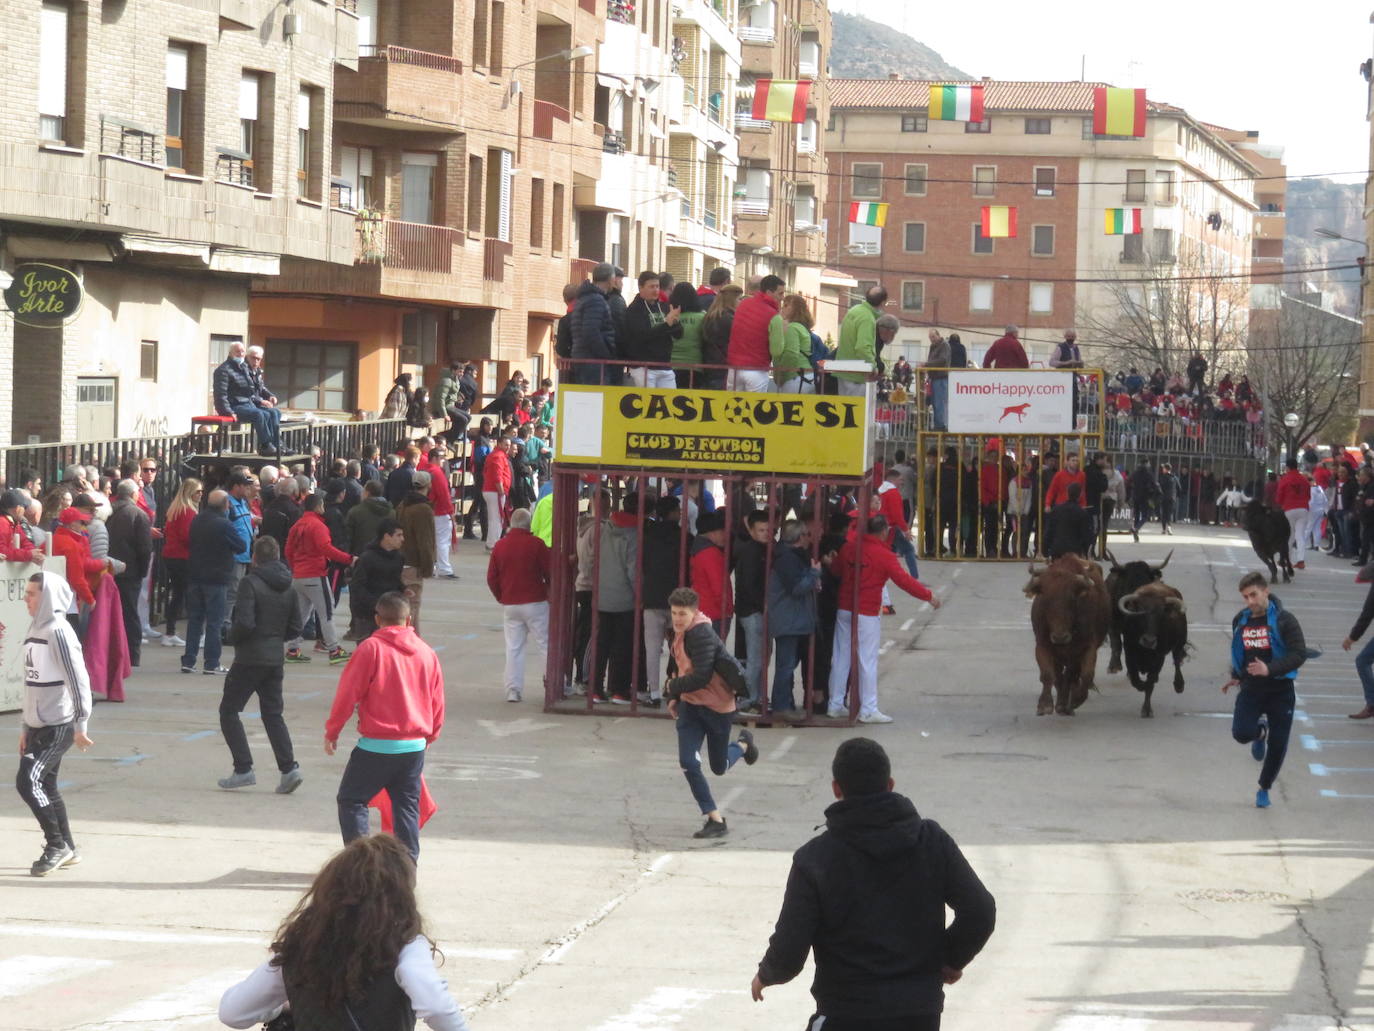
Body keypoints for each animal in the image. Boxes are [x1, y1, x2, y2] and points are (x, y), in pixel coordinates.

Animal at [1027, 558, 1110, 720]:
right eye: (1045, 599)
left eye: (1072, 599)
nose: (1060, 637)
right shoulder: (1042, 645)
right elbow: (1048, 675)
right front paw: (1045, 705)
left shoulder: (1087, 647)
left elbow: (1085, 675)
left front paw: (1075, 700)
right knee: (1060, 677)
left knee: (1071, 677)